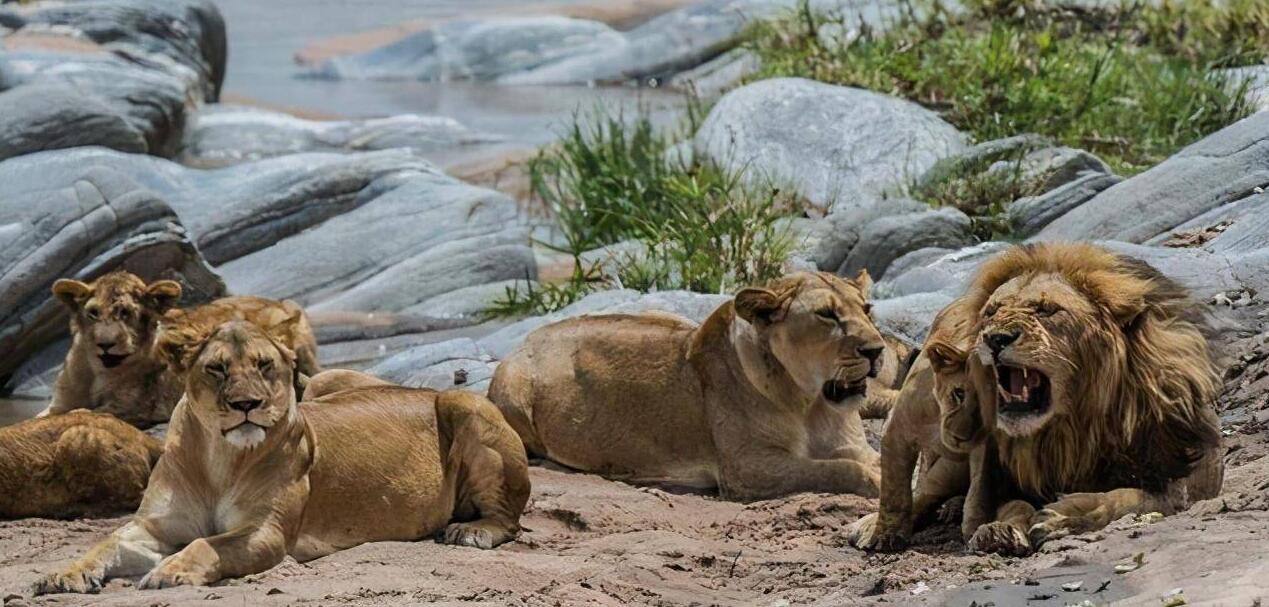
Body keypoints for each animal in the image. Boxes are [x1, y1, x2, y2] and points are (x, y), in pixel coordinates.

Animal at [33, 320, 530, 594]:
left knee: (508, 518)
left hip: (466, 404)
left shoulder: (266, 533)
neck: (218, 457)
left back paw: (471, 532)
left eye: (263, 365)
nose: (246, 404)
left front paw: (168, 571)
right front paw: (62, 576)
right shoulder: (153, 527)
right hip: (326, 380)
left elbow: (206, 544)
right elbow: (105, 544)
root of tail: (423, 388)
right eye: (217, 368)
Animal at [489, 273, 898, 500]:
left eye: (867, 308)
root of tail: (526, 338)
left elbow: (870, 459)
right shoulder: (749, 468)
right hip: (513, 392)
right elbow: (841, 470)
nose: (876, 349)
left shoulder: (850, 445)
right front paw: (879, 483)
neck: (810, 402)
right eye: (826, 314)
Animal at [959, 242, 1218, 553]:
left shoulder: (1178, 479)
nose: (996, 338)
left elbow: (1126, 497)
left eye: (1047, 310)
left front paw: (1064, 517)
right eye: (991, 312)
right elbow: (1012, 505)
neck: (1071, 433)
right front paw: (999, 530)